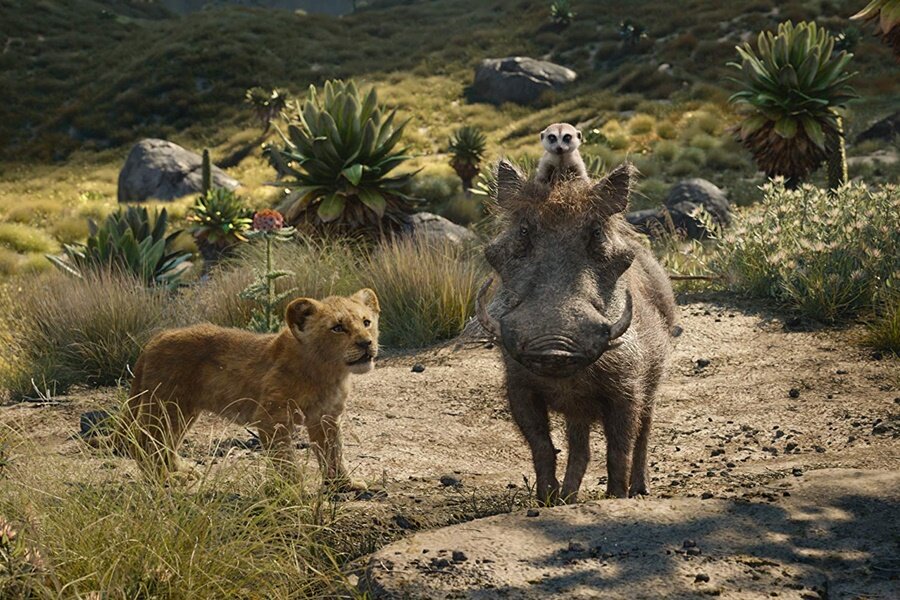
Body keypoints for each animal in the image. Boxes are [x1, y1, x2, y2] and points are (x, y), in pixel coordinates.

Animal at [124, 289, 380, 491]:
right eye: (338, 328)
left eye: (366, 322)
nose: (366, 343)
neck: (329, 372)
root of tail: (155, 339)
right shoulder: (271, 417)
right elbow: (285, 459)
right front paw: (293, 492)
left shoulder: (326, 418)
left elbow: (333, 453)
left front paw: (343, 485)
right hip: (166, 405)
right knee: (145, 441)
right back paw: (165, 479)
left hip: (183, 410)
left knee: (166, 442)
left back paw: (181, 471)